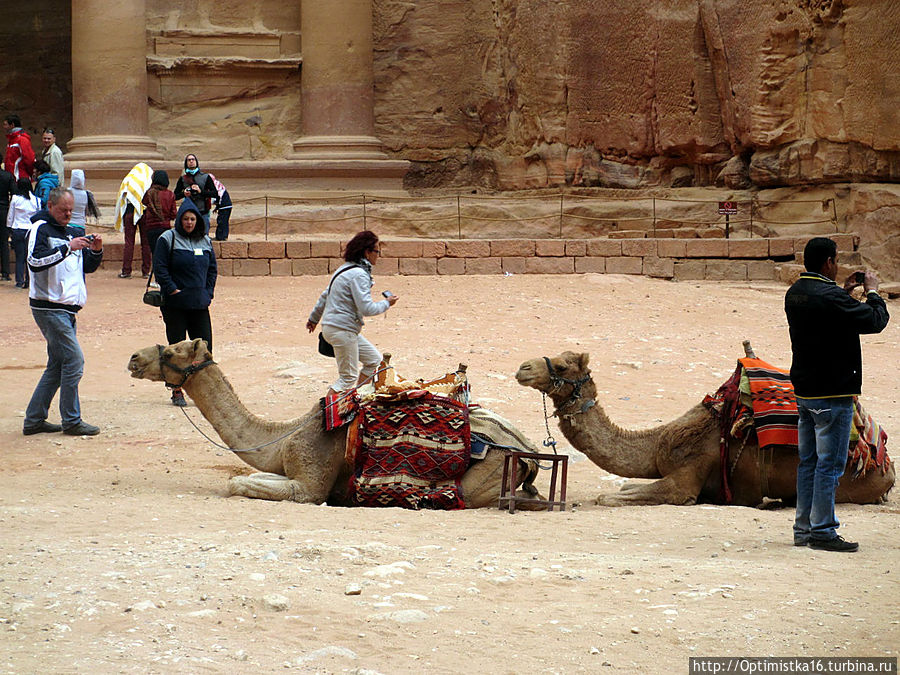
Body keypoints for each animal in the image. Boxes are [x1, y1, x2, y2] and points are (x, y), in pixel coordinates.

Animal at [128, 340, 540, 510]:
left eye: (170, 350)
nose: (133, 358)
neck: (283, 436)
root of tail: (527, 451)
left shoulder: (309, 485)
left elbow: (237, 483)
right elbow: (247, 478)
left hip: (479, 481)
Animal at [512, 354, 892, 508]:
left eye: (562, 365)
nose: (523, 368)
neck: (657, 442)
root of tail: (883, 462)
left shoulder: (687, 476)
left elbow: (609, 497)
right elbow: (625, 486)